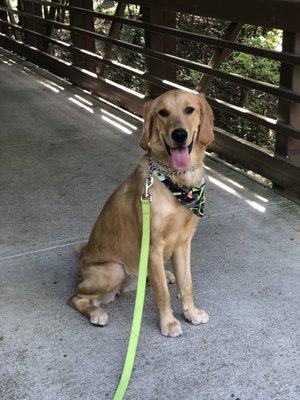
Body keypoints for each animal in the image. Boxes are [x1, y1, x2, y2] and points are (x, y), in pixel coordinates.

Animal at [68, 89, 213, 336]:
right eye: (163, 112)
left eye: (189, 109)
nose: (179, 135)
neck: (177, 182)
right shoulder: (153, 246)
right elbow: (162, 293)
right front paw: (168, 323)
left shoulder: (184, 242)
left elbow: (187, 284)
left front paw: (191, 314)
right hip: (114, 270)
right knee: (76, 298)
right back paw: (96, 313)